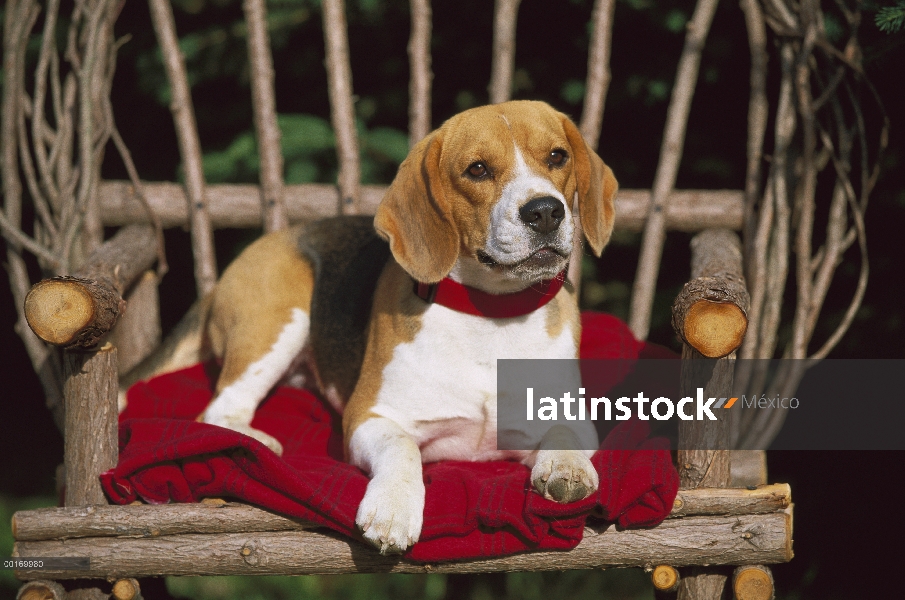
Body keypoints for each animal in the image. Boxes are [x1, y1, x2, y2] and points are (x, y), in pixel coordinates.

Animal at [132, 101, 616, 556]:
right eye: (477, 169)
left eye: (557, 156)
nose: (545, 211)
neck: (491, 316)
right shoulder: (367, 416)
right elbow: (402, 448)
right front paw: (393, 508)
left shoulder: (574, 418)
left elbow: (565, 434)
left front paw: (568, 467)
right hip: (279, 318)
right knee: (220, 410)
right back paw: (254, 443)